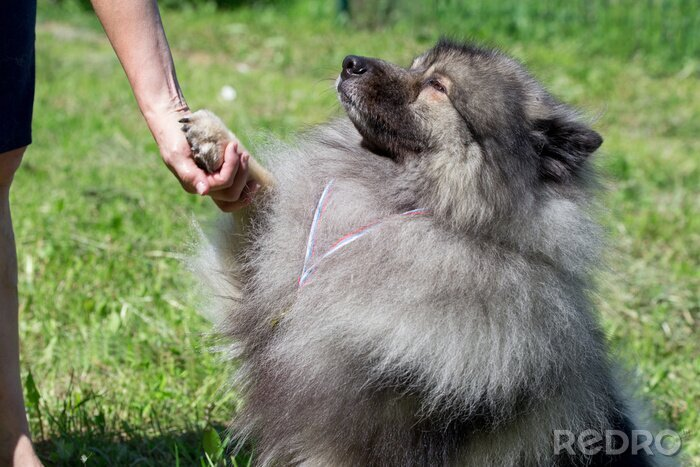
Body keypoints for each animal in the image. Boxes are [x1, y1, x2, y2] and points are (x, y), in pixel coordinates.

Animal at [183, 39, 668, 467]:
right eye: (415, 64)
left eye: (437, 86)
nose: (350, 61)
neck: (414, 212)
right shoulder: (259, 289)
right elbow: (257, 198)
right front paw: (214, 139)